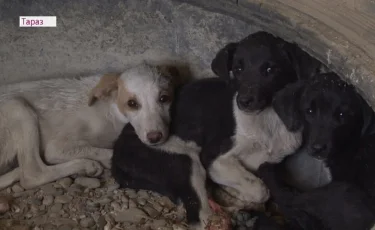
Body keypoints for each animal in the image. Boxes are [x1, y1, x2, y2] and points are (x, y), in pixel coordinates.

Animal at [0, 62, 178, 190]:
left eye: (164, 98)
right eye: (132, 104)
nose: (155, 137)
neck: (110, 111)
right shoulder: (56, 147)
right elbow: (107, 152)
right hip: (17, 107)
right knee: (32, 174)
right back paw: (85, 165)